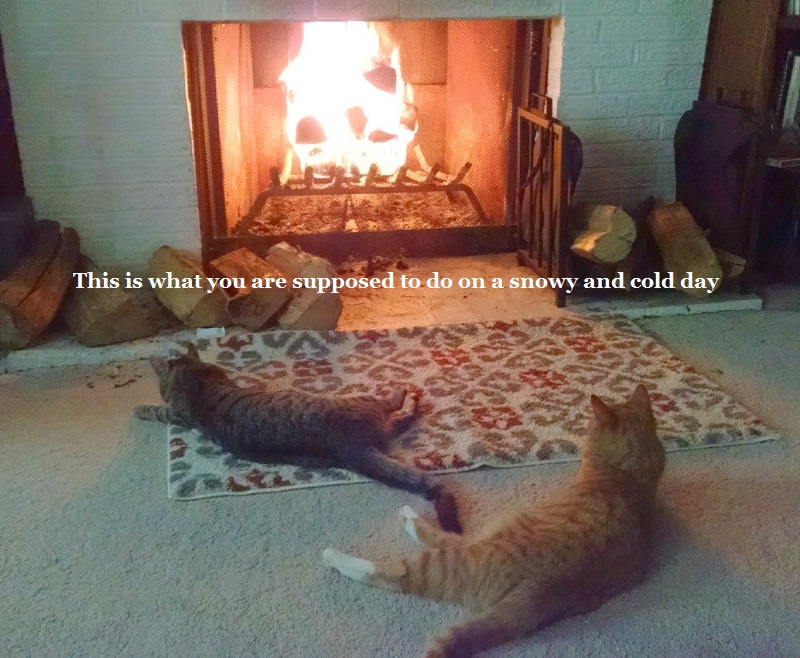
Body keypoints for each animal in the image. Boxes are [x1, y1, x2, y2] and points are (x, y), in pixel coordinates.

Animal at [137, 340, 460, 532]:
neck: (196, 379)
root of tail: (348, 446)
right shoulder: (175, 413)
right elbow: (156, 410)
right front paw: (142, 408)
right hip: (368, 405)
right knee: (397, 407)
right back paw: (406, 392)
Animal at [322, 382, 664, 652]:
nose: (583, 434)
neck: (624, 479)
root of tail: (537, 589)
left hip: (475, 543)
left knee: (404, 566)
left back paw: (347, 548)